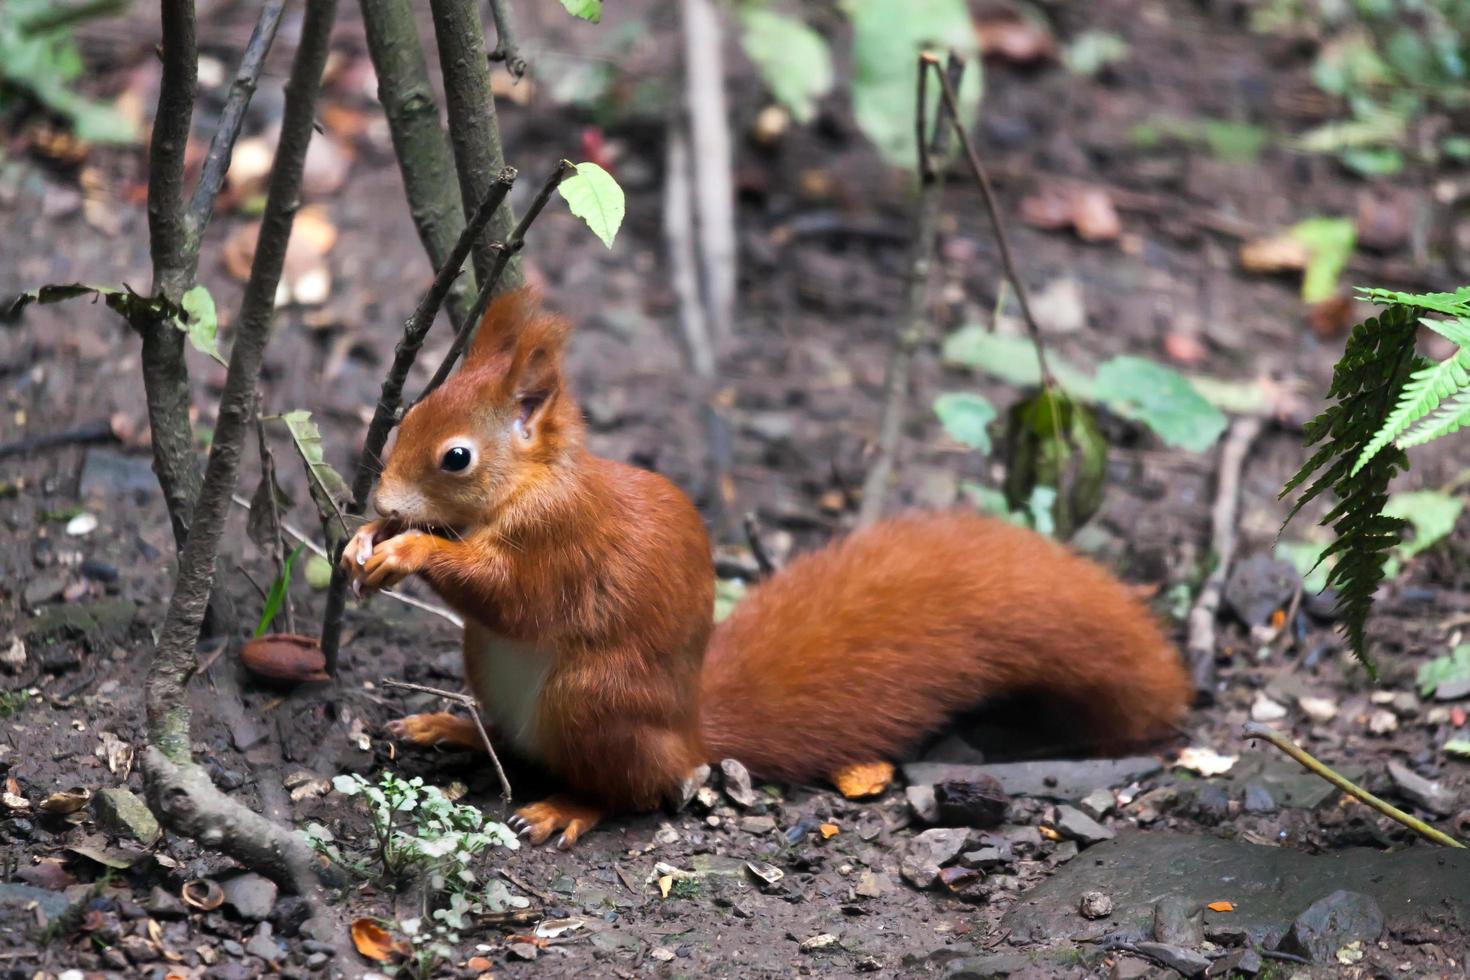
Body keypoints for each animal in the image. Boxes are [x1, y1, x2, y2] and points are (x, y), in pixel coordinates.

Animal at [338, 287, 1187, 846]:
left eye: (456, 457)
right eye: (409, 412)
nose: (379, 493)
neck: (531, 482)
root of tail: (690, 734)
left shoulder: (563, 541)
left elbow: (511, 594)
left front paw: (408, 548)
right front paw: (366, 539)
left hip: (595, 698)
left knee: (629, 790)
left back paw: (565, 808)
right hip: (494, 671)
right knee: (517, 743)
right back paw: (451, 725)